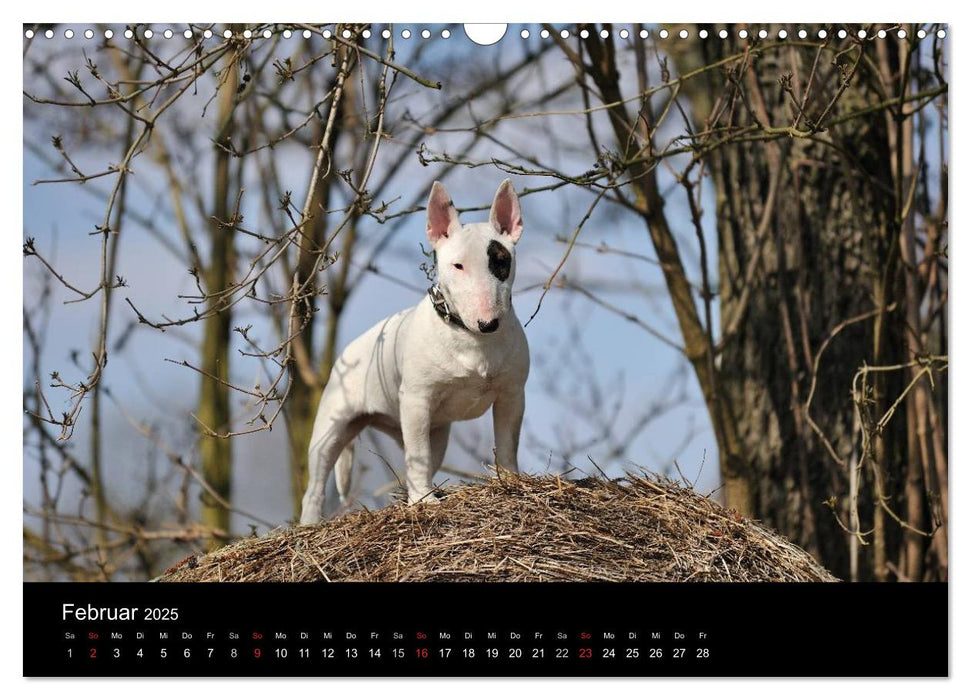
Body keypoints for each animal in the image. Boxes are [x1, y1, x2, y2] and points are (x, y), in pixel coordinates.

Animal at [304, 178, 532, 524]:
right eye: (458, 265)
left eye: (500, 262)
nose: (488, 323)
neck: (470, 339)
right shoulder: (417, 399)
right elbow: (418, 455)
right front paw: (424, 501)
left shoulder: (512, 395)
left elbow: (507, 443)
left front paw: (510, 481)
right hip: (333, 427)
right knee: (316, 485)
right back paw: (309, 523)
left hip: (432, 430)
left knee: (422, 457)